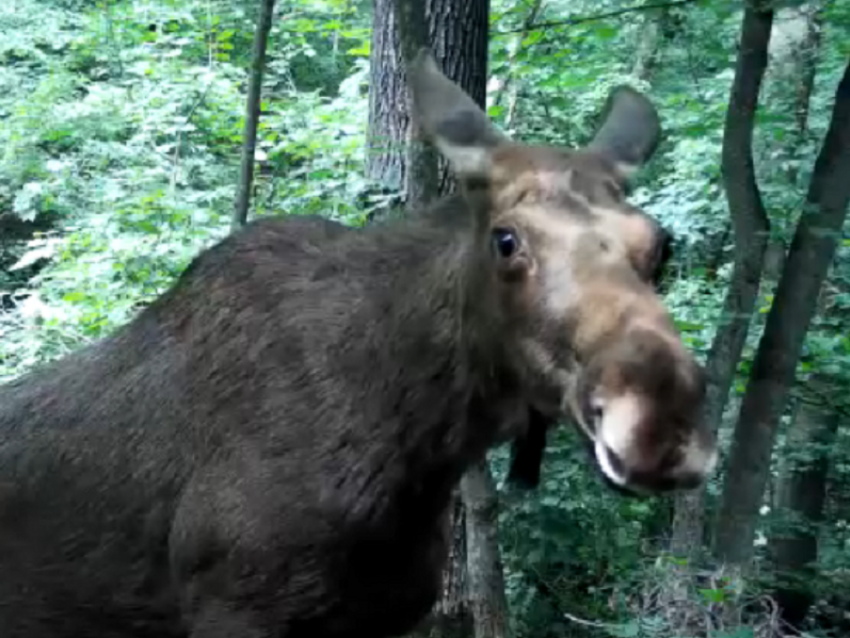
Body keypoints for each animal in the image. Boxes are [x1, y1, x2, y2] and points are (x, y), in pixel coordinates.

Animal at [0, 51, 716, 638]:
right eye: (506, 239)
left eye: (660, 244)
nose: (660, 420)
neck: (415, 454)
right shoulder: (235, 607)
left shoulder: (393, 613)